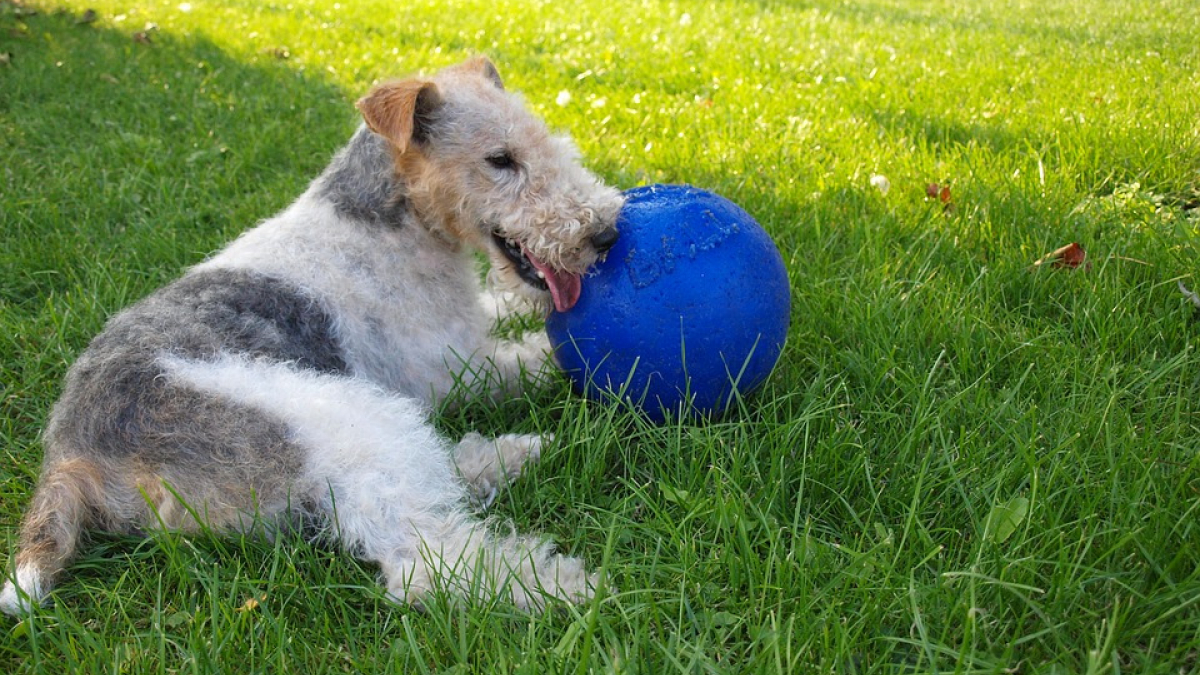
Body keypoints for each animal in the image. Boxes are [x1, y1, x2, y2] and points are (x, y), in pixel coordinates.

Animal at [4, 56, 628, 614]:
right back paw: (568, 587)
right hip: (335, 416)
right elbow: (541, 355)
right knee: (422, 560)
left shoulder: (469, 325)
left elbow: (506, 309)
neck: (386, 220)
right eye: (500, 159)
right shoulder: (456, 366)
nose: (605, 233)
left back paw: (512, 456)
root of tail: (70, 454)